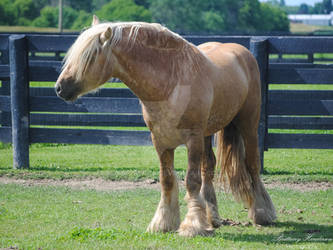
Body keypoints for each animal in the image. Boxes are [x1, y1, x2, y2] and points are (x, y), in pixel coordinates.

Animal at [55, 15, 274, 236]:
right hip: (207, 134)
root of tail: (242, 52)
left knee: (252, 164)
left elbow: (191, 180)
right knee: (209, 167)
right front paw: (164, 223)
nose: (60, 88)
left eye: (90, 57)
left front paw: (192, 225)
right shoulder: (160, 141)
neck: (171, 82)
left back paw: (262, 213)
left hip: (247, 125)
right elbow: (167, 180)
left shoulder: (193, 139)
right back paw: (212, 218)